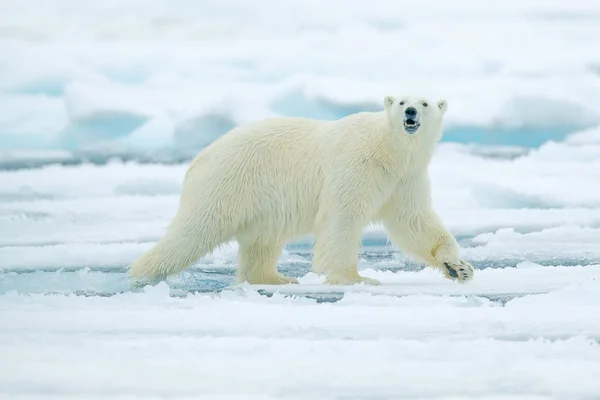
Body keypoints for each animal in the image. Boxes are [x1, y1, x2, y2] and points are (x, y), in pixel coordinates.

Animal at [130, 95, 474, 286]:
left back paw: (276, 277)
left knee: (262, 241)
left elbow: (414, 222)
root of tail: (200, 158)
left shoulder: (404, 179)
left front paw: (458, 267)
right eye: (402, 101)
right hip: (227, 183)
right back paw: (141, 273)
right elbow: (342, 219)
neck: (388, 150)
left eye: (425, 102)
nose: (410, 113)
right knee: (192, 233)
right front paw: (355, 277)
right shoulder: (357, 166)